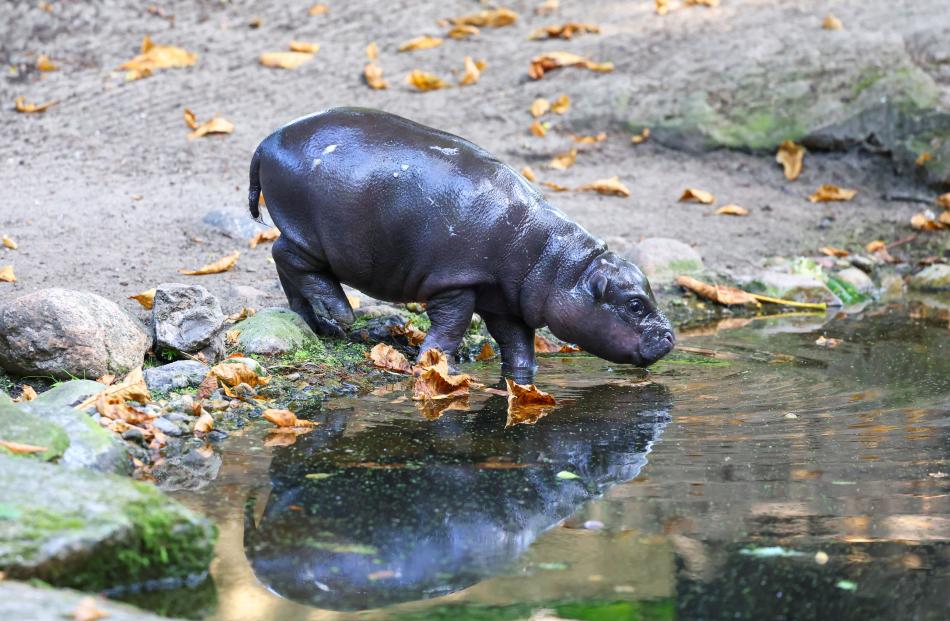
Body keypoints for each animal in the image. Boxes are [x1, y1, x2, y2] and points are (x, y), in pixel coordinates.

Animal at [249, 108, 672, 378]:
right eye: (635, 304)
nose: (669, 337)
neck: (558, 262)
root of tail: (267, 140)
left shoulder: (503, 301)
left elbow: (517, 343)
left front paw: (521, 376)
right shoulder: (457, 282)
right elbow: (452, 326)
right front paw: (438, 366)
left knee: (285, 263)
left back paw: (317, 324)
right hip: (309, 235)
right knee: (286, 257)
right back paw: (341, 315)